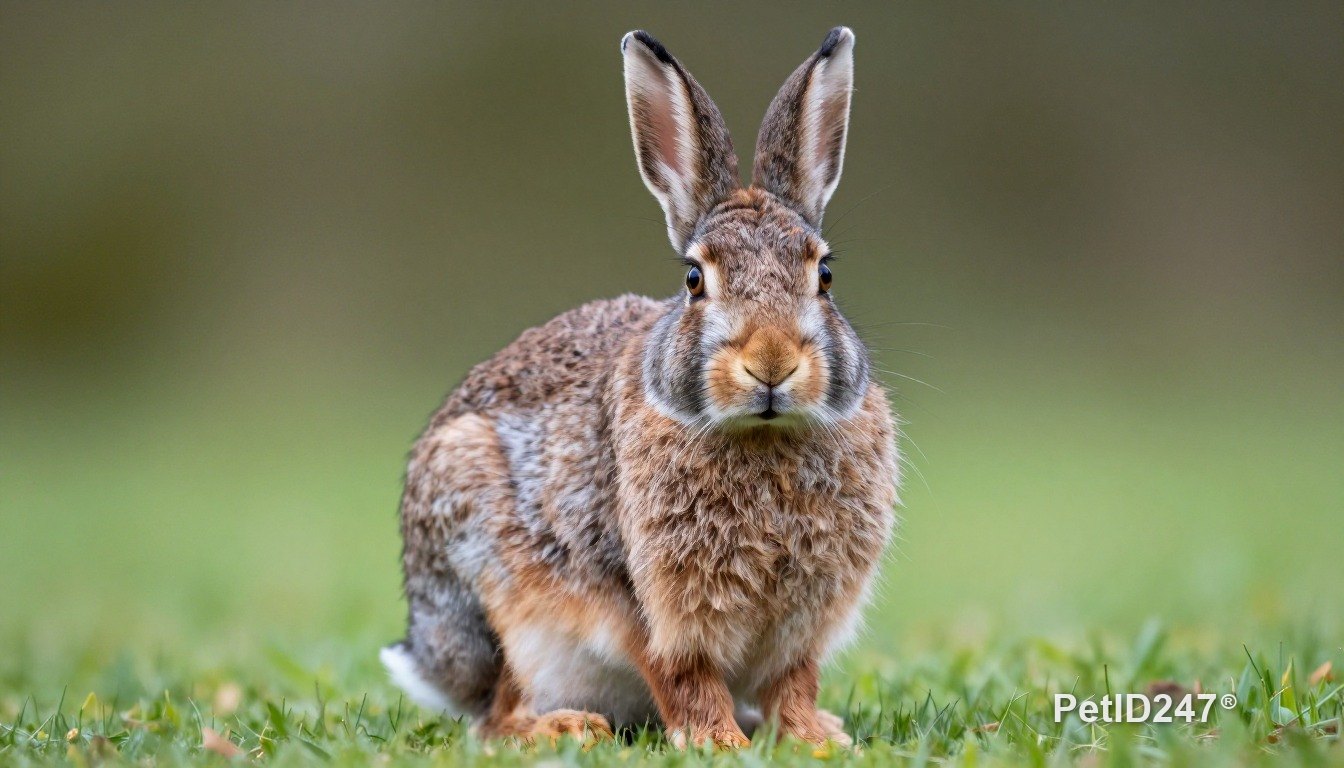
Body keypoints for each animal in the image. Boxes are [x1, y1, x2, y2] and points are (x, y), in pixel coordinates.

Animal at [382, 26, 899, 749]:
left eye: (824, 276)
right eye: (693, 279)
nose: (770, 362)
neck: (759, 436)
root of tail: (431, 660)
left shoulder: (802, 626)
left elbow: (793, 681)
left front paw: (813, 740)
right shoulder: (645, 598)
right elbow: (679, 671)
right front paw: (716, 742)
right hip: (487, 579)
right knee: (495, 716)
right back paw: (566, 728)